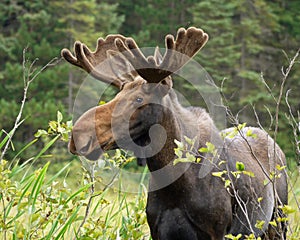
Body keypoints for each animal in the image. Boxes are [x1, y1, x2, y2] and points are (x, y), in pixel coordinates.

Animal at [61, 27, 288, 239]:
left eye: (139, 99)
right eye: (118, 94)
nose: (78, 135)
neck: (176, 182)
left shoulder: (217, 231)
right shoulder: (159, 231)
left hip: (278, 221)